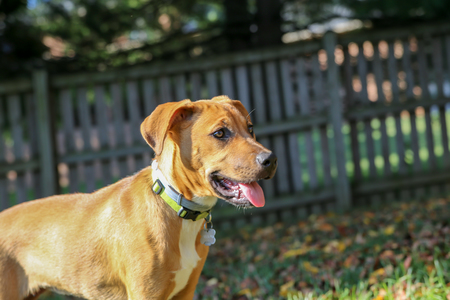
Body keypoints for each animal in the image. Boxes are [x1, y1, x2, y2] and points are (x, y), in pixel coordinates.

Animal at [0, 96, 278, 300]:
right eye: (220, 133)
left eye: (250, 128)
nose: (271, 159)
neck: (176, 209)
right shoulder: (146, 294)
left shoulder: (186, 291)